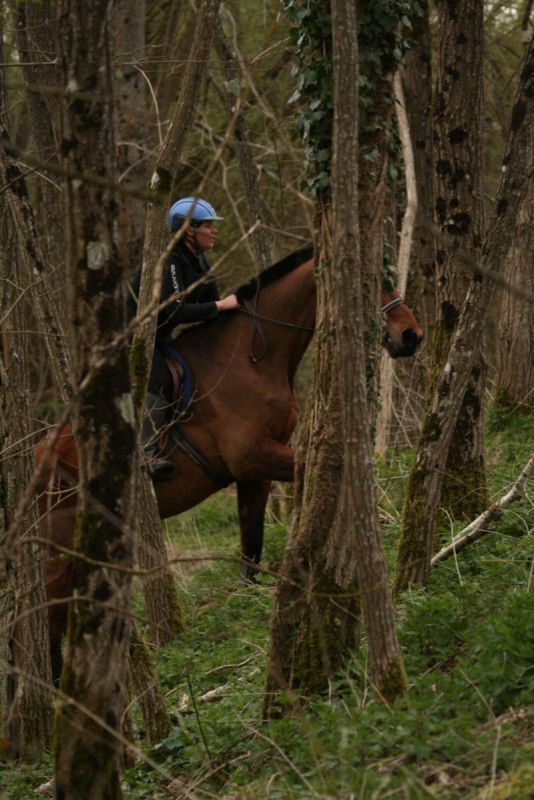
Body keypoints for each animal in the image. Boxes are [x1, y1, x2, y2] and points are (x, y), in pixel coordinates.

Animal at [37, 247, 423, 679]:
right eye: (371, 281)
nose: (411, 336)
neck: (251, 357)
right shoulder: (255, 457)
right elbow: (316, 469)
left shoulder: (254, 472)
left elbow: (251, 542)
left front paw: (250, 597)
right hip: (59, 550)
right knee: (51, 620)